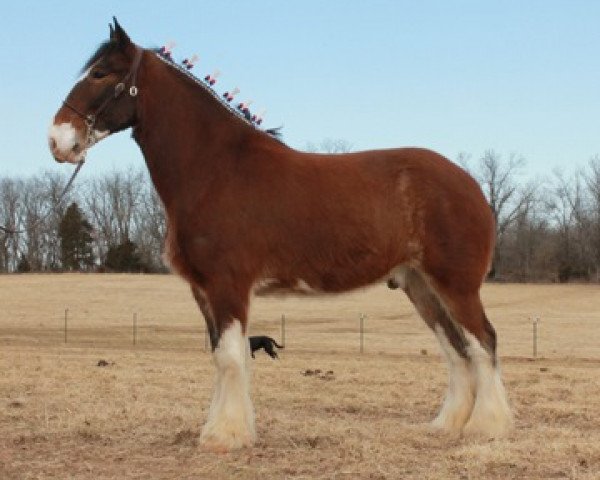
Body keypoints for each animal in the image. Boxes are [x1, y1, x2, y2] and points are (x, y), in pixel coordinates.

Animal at [49, 18, 512, 452]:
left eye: (100, 74)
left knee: (482, 340)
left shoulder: (228, 285)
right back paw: (447, 425)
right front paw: (218, 430)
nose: (57, 140)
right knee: (455, 347)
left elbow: (231, 358)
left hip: (455, 284)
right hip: (420, 286)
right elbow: (220, 356)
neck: (215, 169)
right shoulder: (204, 291)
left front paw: (226, 436)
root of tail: (469, 183)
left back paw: (486, 427)